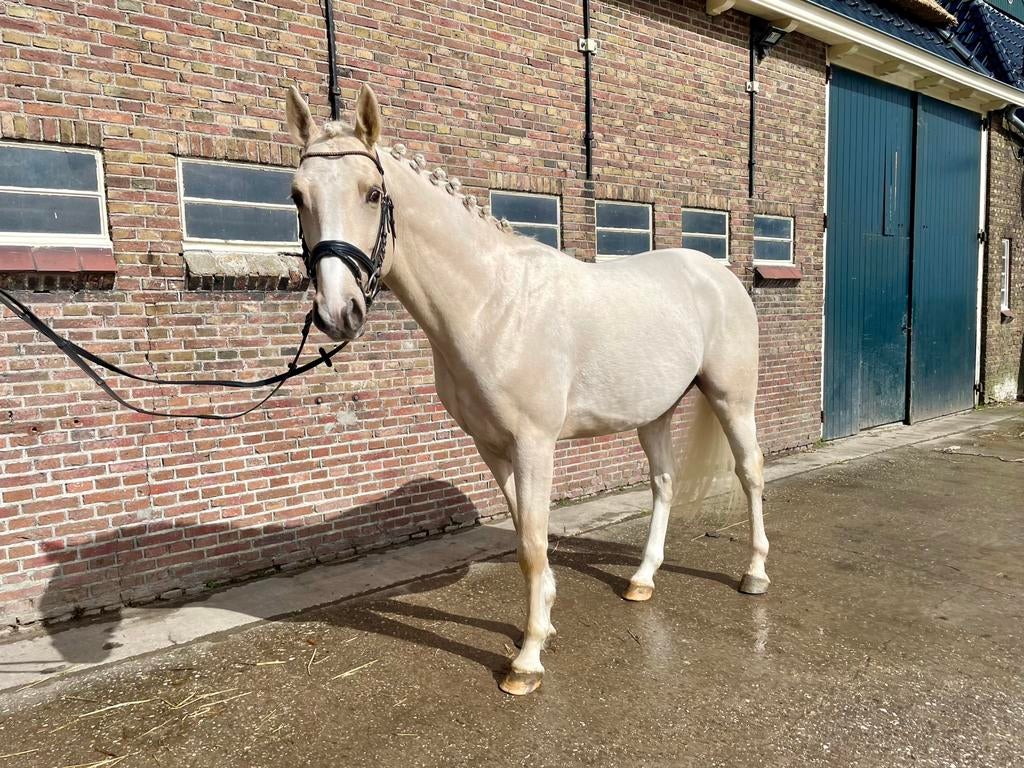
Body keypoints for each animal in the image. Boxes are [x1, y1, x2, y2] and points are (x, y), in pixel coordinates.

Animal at [285, 84, 769, 695]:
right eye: (297, 195)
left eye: (372, 193)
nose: (336, 313)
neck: (492, 304)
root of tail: (719, 274)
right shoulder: (492, 447)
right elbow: (523, 538)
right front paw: (544, 620)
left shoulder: (535, 444)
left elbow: (534, 542)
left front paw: (528, 660)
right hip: (655, 412)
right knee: (662, 483)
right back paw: (641, 579)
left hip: (733, 399)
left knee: (751, 471)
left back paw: (755, 574)